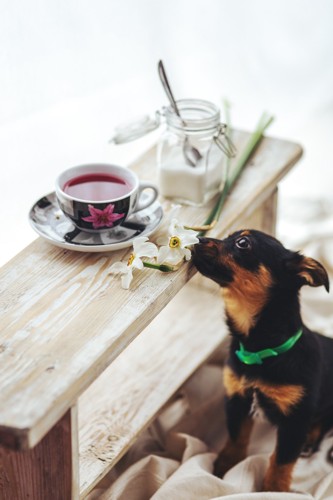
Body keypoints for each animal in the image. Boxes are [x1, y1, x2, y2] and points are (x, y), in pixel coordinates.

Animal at [191, 229, 330, 492]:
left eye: (242, 243)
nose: (198, 239)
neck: (261, 350)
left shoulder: (295, 419)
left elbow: (282, 460)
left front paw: (273, 490)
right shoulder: (237, 398)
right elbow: (237, 437)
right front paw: (224, 467)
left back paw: (310, 440)